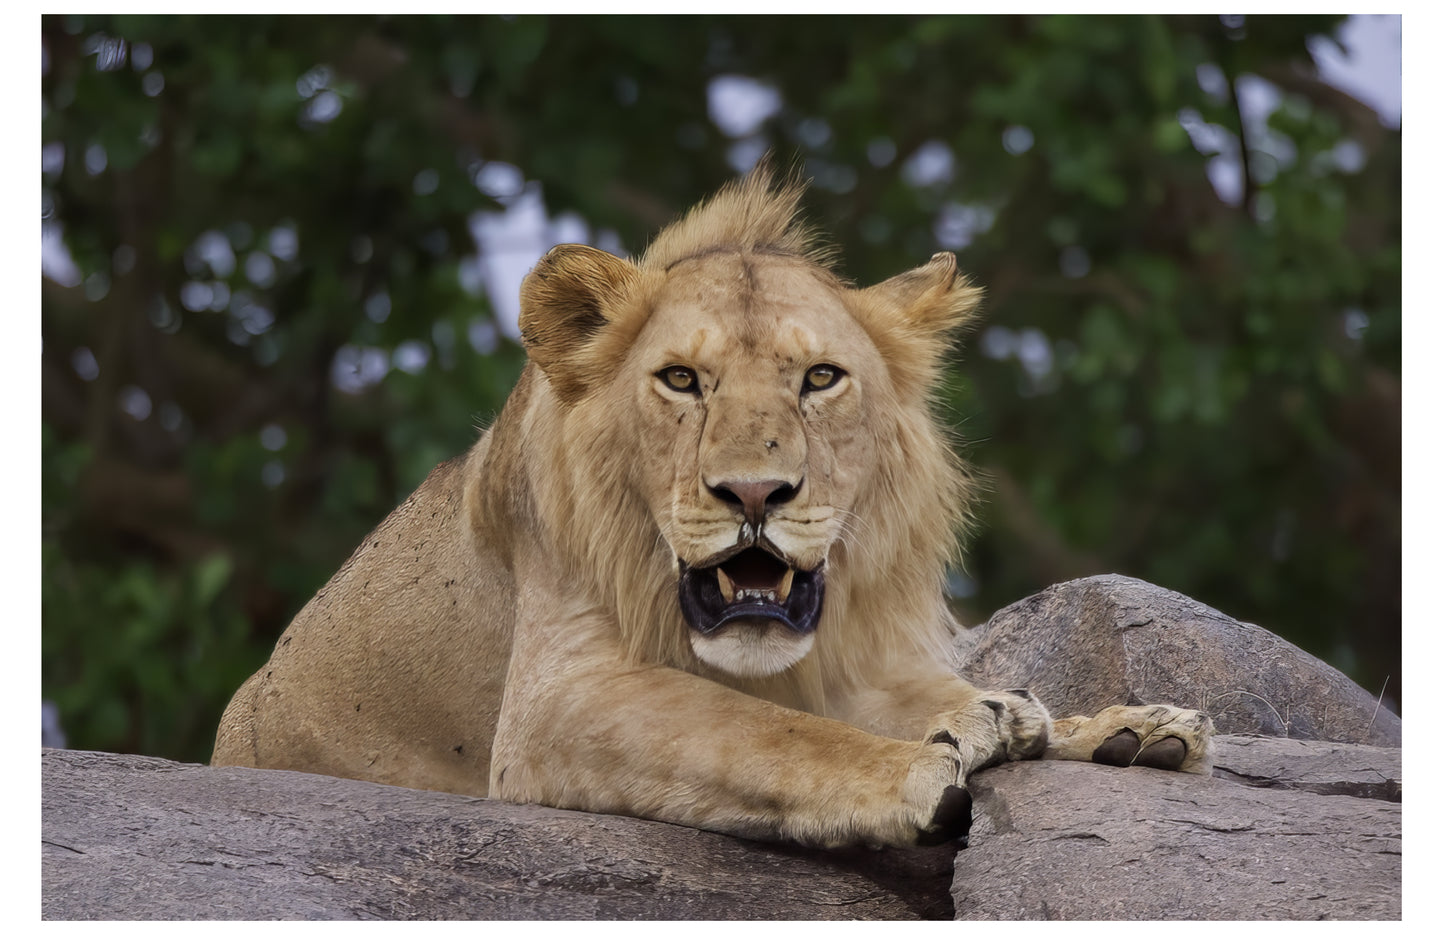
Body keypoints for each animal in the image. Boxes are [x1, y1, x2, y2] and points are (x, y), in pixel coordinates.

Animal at [210, 168, 1208, 849]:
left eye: (820, 378)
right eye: (683, 380)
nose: (754, 493)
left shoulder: (861, 651)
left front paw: (1112, 727)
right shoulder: (553, 704)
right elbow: (763, 729)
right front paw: (932, 758)